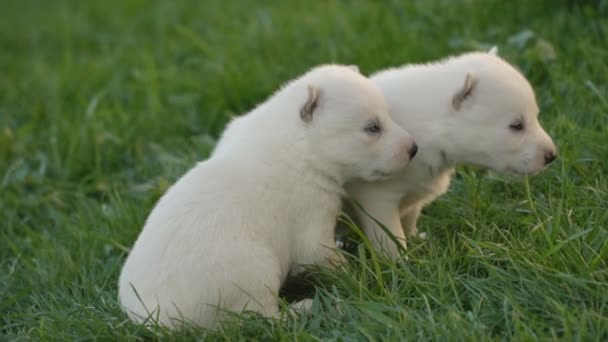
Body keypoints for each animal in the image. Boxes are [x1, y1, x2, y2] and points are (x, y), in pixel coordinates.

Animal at [118, 64, 418, 328]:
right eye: (372, 127)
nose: (413, 148)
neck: (299, 141)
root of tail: (158, 320)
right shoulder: (311, 219)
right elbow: (325, 257)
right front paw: (359, 277)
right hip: (254, 270)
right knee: (259, 317)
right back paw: (304, 307)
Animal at [344, 47, 560, 256]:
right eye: (516, 125)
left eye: (536, 116)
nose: (552, 156)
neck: (429, 124)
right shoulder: (377, 195)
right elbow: (389, 235)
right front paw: (399, 261)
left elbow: (410, 218)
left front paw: (417, 240)